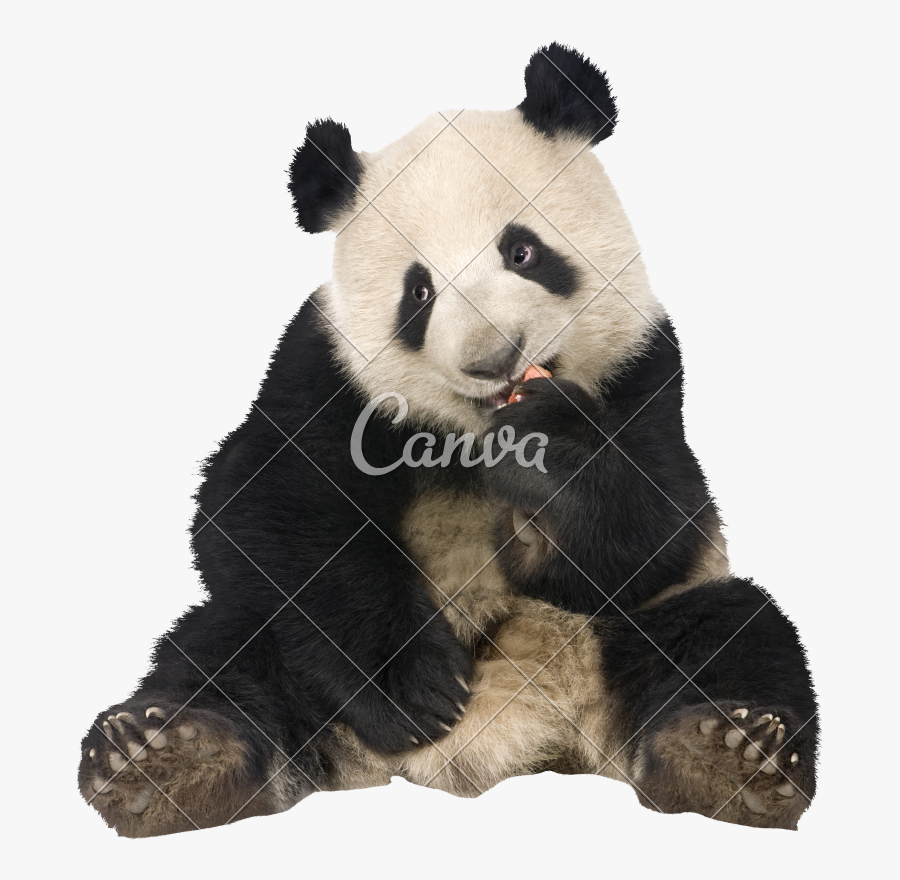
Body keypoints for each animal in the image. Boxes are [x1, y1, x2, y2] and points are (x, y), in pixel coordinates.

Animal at [77, 43, 818, 835]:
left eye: (523, 253)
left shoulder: (646, 367)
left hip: (632, 635)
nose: (493, 360)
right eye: (419, 292)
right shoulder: (320, 368)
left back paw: (723, 756)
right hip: (277, 648)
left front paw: (549, 456)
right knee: (222, 647)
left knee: (728, 627)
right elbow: (265, 503)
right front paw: (412, 688)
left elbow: (661, 524)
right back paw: (168, 759)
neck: (467, 435)